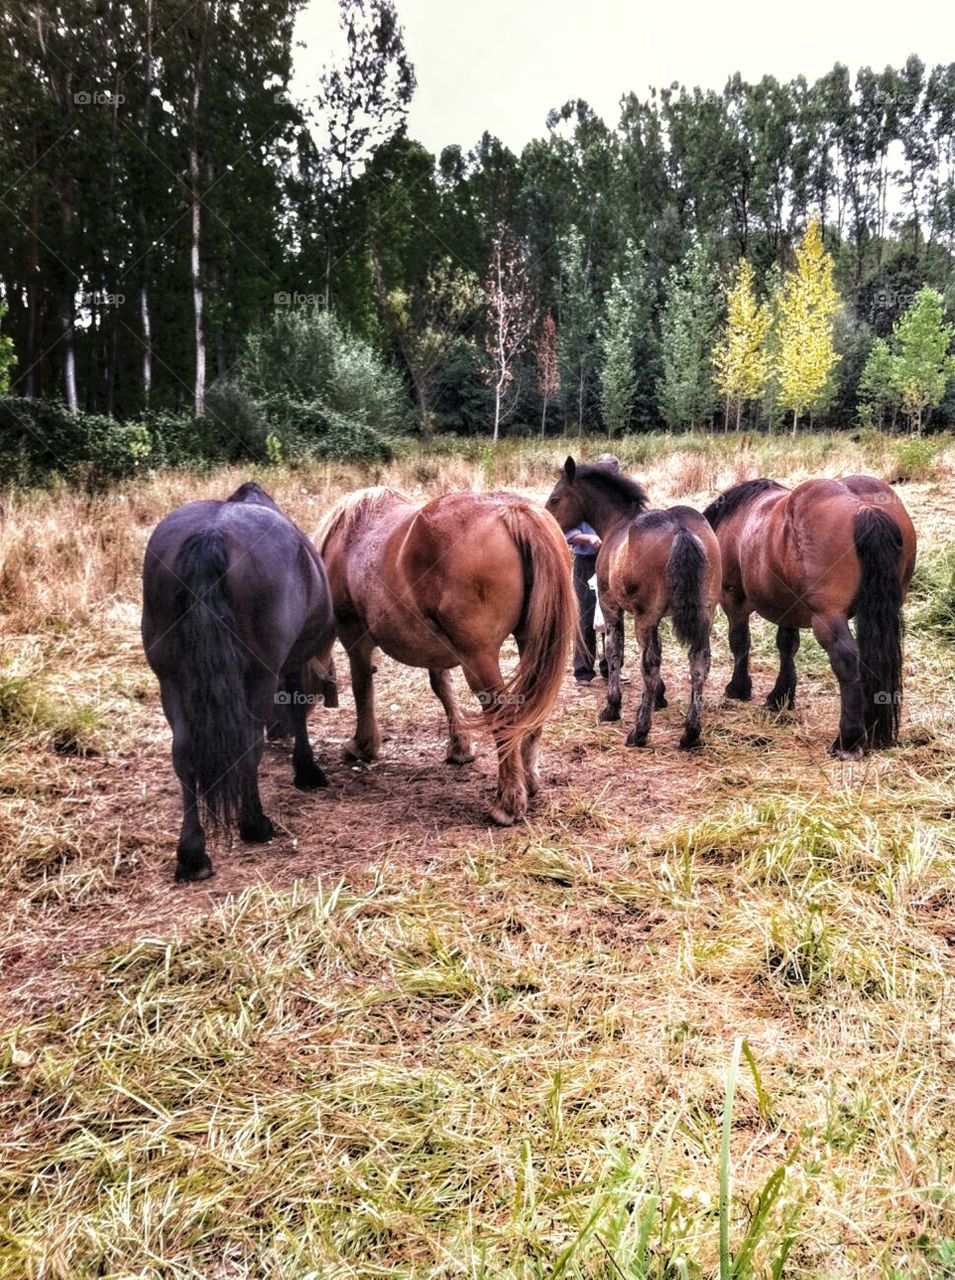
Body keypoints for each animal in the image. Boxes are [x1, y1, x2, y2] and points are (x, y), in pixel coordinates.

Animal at [142, 481, 336, 882]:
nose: (278, 733)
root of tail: (210, 535)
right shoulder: (291, 665)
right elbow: (296, 706)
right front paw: (307, 770)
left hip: (170, 678)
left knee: (182, 751)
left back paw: (193, 855)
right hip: (258, 676)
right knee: (248, 744)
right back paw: (254, 824)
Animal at [318, 486, 576, 826]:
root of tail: (514, 512)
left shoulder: (354, 637)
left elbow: (363, 689)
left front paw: (363, 745)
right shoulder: (438, 651)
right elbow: (444, 689)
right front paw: (460, 748)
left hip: (480, 659)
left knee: (504, 716)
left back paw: (508, 803)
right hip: (532, 643)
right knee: (533, 710)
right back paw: (529, 781)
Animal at [545, 457, 722, 749]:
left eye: (555, 499)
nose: (549, 528)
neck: (617, 523)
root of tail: (680, 530)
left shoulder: (611, 606)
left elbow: (615, 651)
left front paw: (612, 707)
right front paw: (660, 696)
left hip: (644, 618)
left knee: (650, 665)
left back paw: (640, 731)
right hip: (705, 615)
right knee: (699, 664)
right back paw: (691, 733)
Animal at [702, 476, 917, 757]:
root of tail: (865, 508)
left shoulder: (733, 598)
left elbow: (740, 643)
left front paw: (739, 688)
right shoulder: (787, 607)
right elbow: (787, 646)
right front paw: (781, 696)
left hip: (828, 617)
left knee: (847, 660)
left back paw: (848, 741)